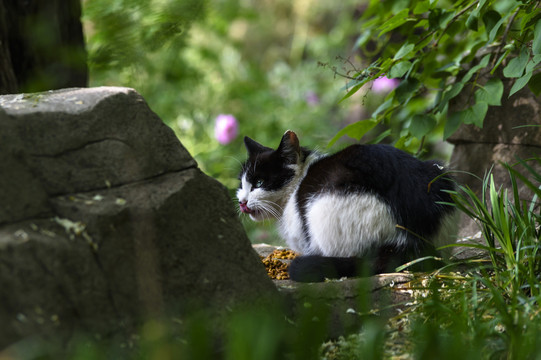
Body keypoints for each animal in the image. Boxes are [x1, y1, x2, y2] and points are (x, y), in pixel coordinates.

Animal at [236, 131, 456, 282]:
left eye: (259, 183)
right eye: (242, 184)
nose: (242, 201)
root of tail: (411, 241)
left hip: (321, 205)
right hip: (439, 173)